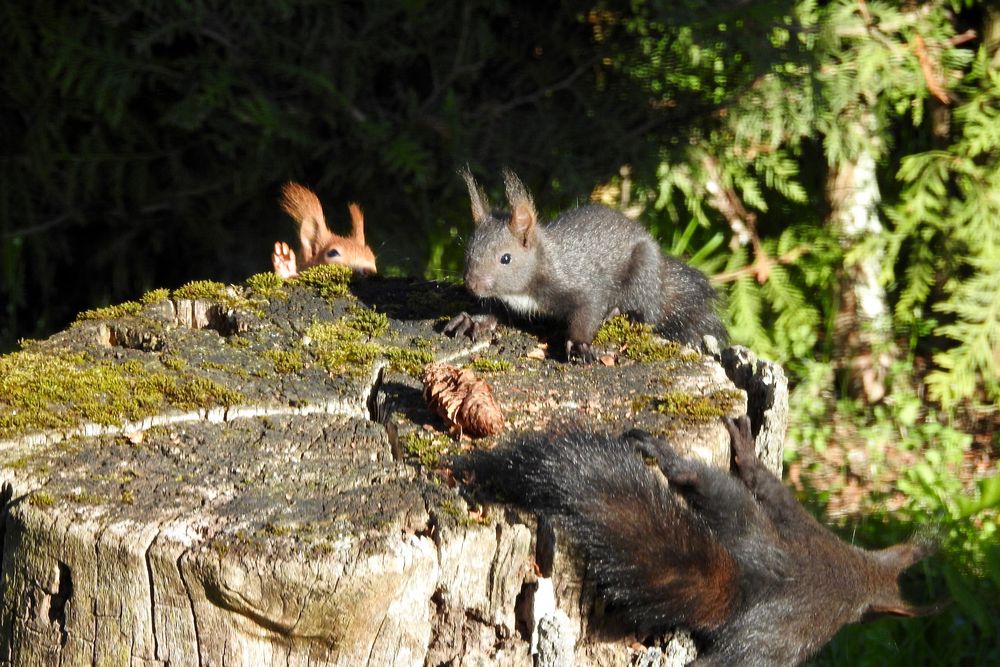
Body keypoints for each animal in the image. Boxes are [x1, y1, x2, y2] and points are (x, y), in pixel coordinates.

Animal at [446, 170, 728, 362]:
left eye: (506, 258)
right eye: (468, 249)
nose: (471, 284)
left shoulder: (579, 284)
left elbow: (588, 309)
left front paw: (580, 344)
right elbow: (495, 309)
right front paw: (474, 320)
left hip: (644, 273)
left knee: (648, 313)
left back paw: (617, 312)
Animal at [458, 418, 940, 664]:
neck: (861, 573)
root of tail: (750, 581)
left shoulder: (797, 522)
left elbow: (768, 487)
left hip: (738, 515)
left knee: (704, 483)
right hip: (756, 644)